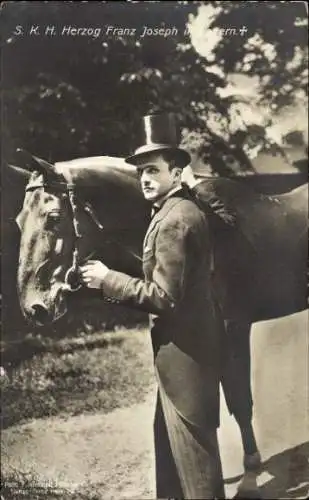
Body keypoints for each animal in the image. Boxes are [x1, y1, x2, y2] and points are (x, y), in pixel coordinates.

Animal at [8, 151, 306, 472]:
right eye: (19, 220)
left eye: (53, 217)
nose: (34, 308)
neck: (215, 227)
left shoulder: (234, 327)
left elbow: (239, 400)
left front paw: (251, 459)